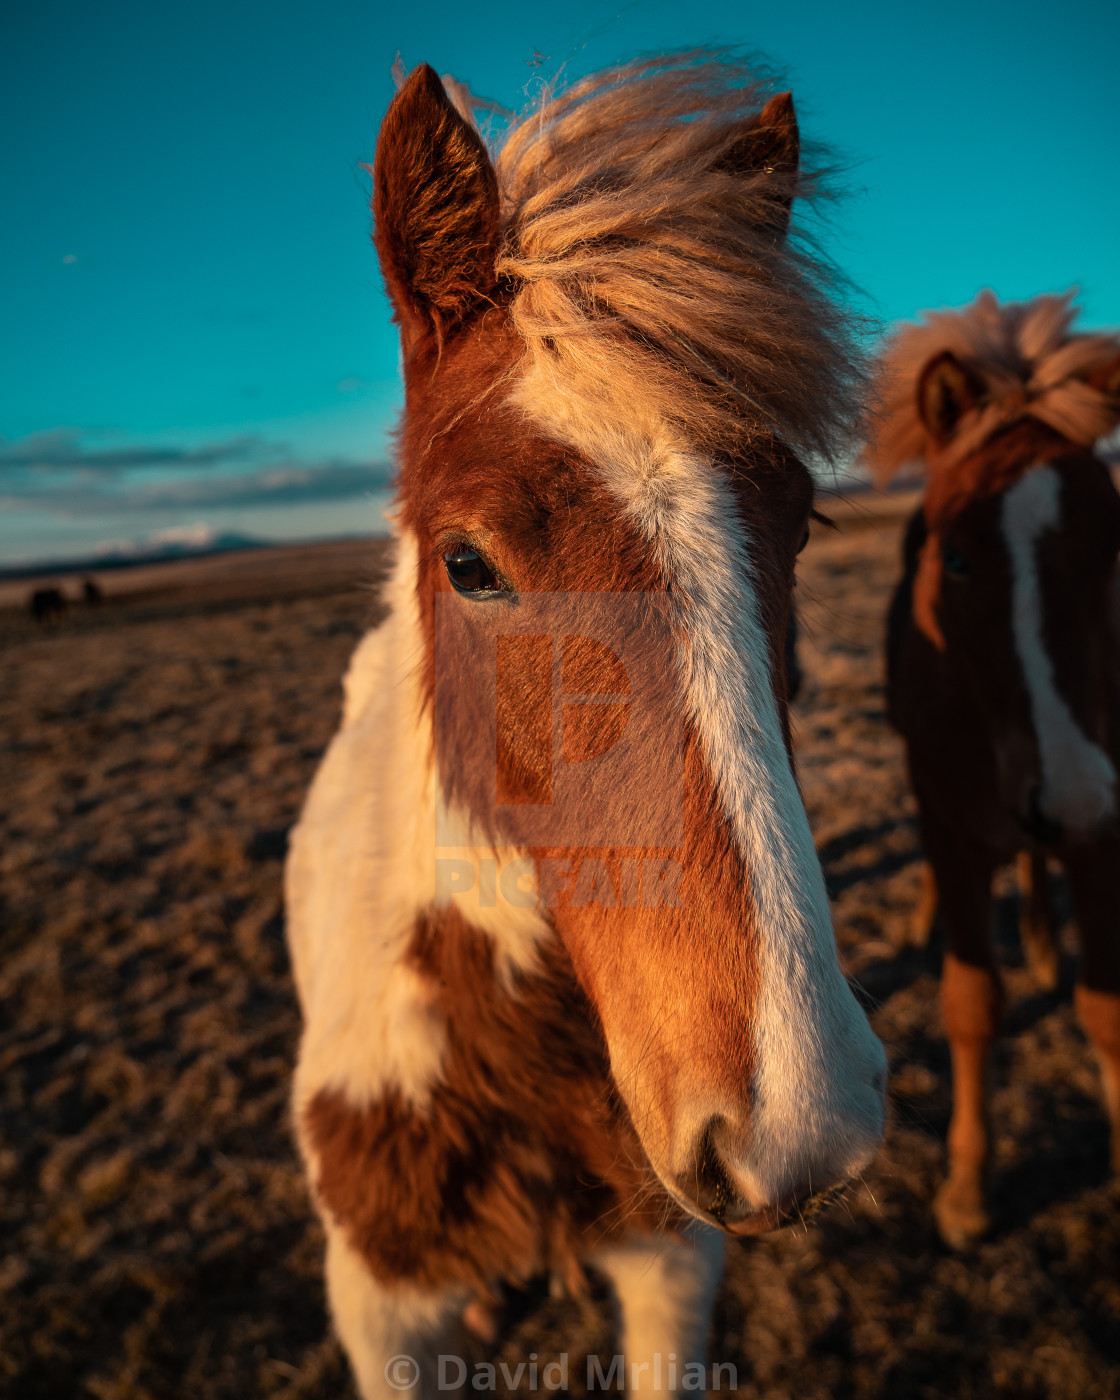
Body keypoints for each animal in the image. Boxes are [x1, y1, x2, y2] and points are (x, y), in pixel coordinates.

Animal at [868, 292, 1120, 1248]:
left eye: (1113, 545)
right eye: (957, 554)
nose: (1073, 793)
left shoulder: (1101, 829)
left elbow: (1106, 1009)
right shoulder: (951, 828)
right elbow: (971, 1003)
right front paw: (968, 1188)